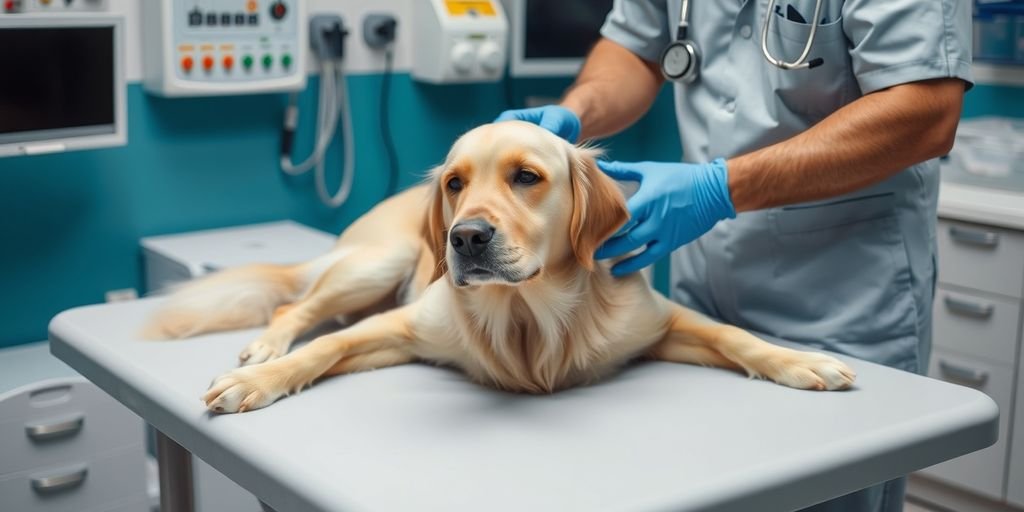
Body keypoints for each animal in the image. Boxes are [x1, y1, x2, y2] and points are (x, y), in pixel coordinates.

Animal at [140, 119, 851, 411]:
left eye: (527, 177)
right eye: (455, 183)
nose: (465, 237)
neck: (530, 318)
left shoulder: (660, 323)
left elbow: (732, 335)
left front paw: (799, 360)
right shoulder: (401, 328)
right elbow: (326, 346)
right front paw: (260, 379)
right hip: (383, 261)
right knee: (297, 306)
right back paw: (264, 346)